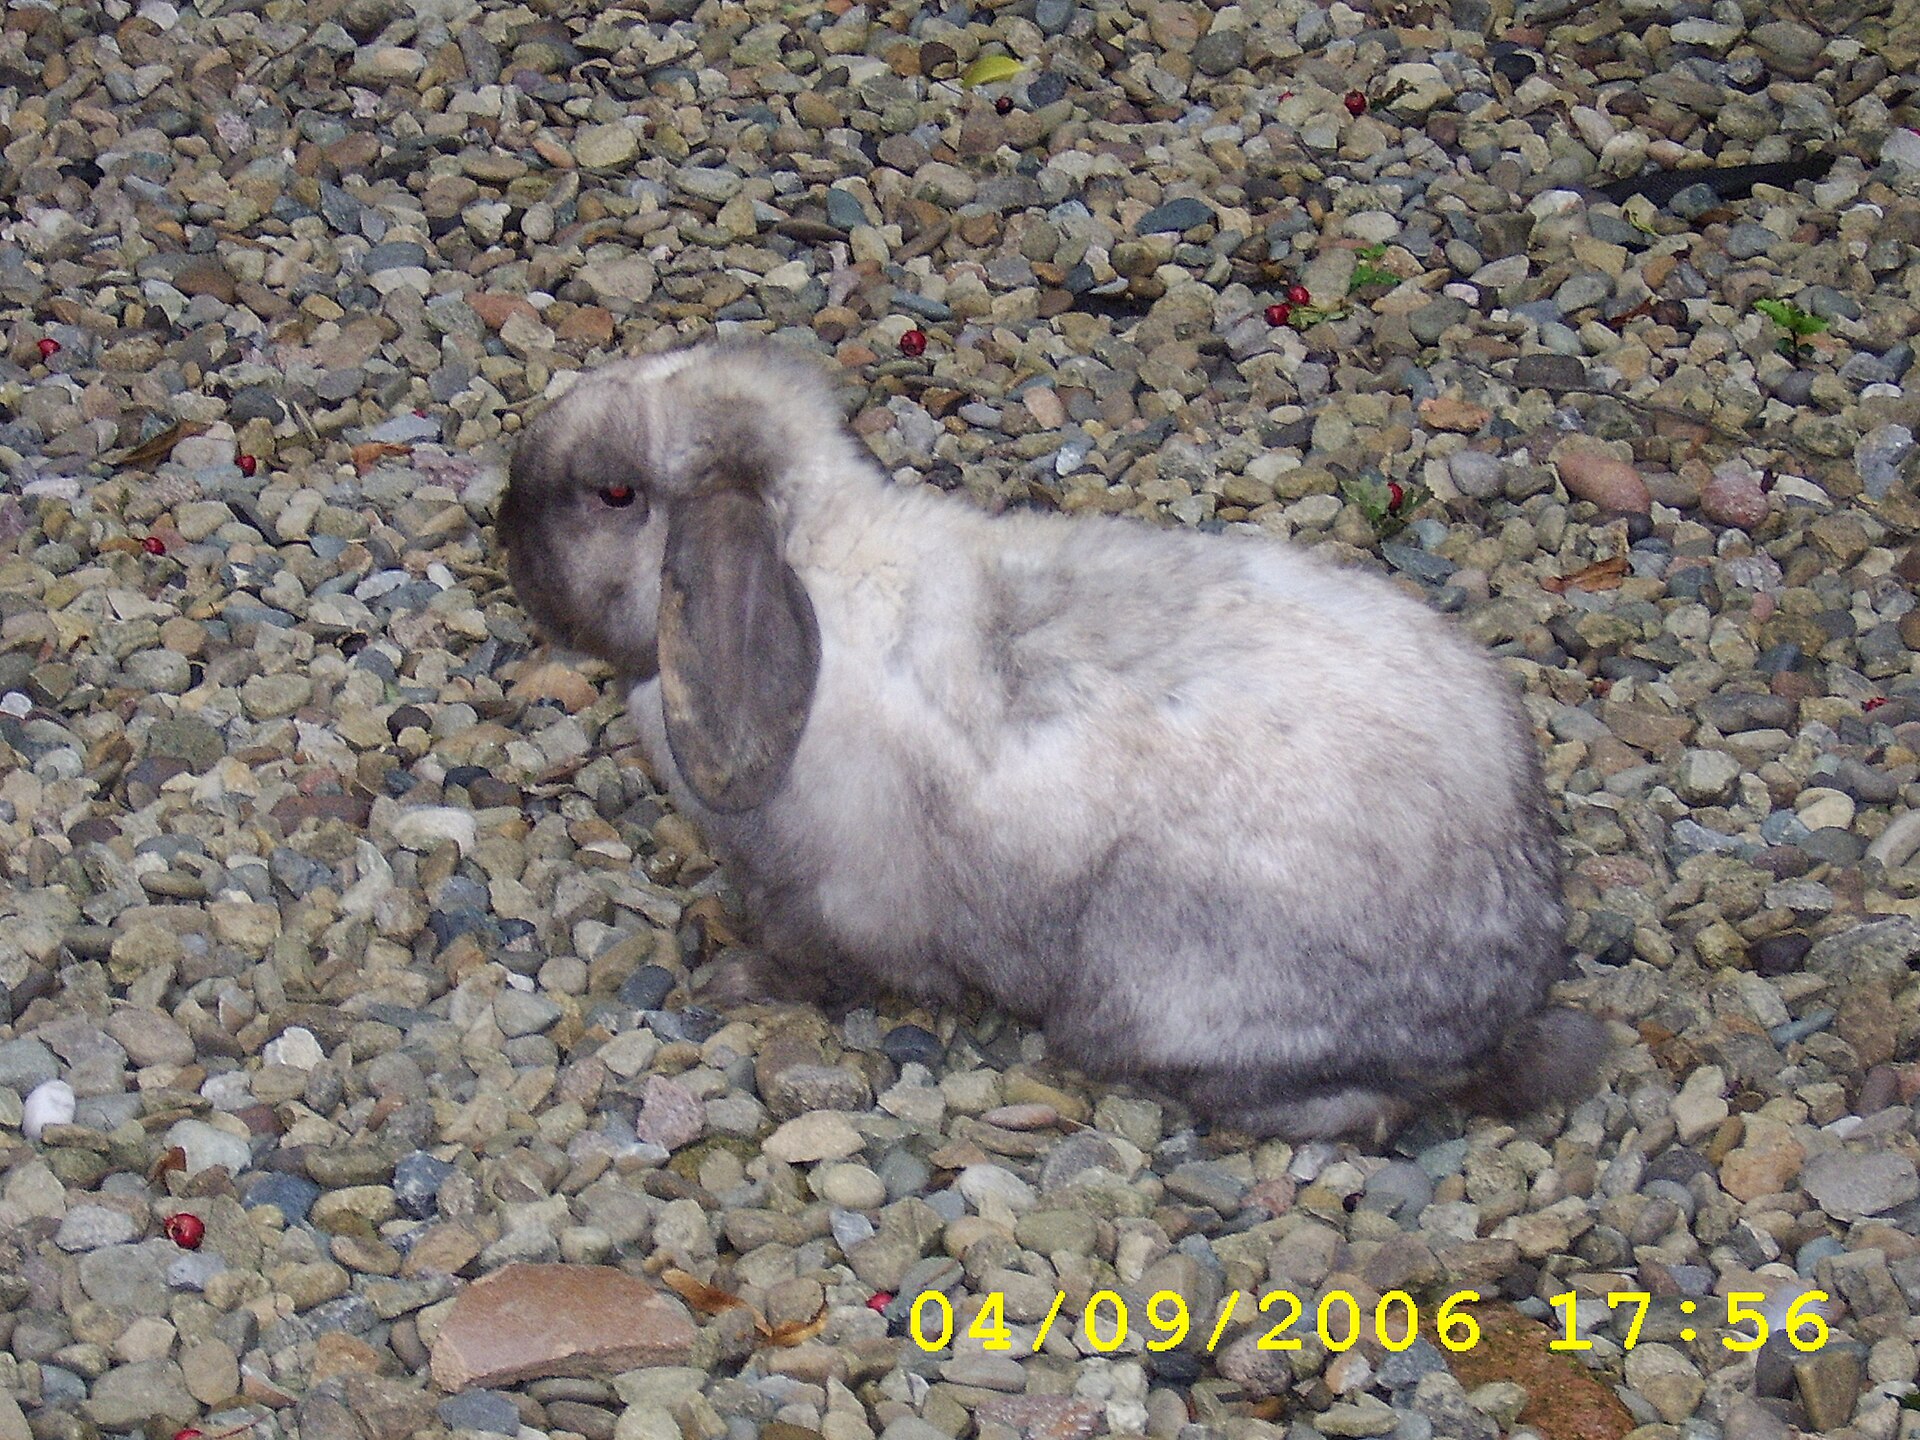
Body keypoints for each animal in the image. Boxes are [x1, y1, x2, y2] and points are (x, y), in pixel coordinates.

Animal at [497, 336, 1610, 1143]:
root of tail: (1509, 986)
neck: (810, 568)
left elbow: (812, 962)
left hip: (1162, 999)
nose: (502, 534)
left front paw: (733, 984)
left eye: (613, 494)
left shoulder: (828, 898)